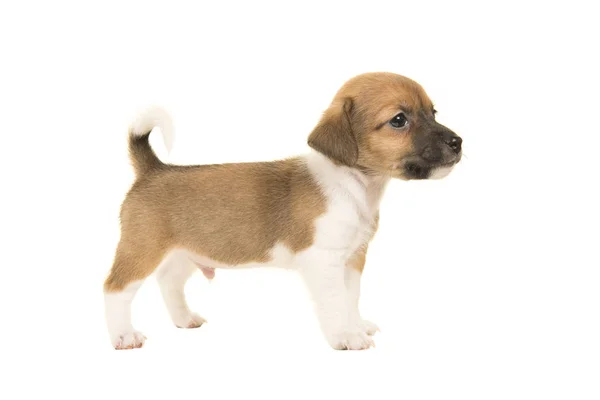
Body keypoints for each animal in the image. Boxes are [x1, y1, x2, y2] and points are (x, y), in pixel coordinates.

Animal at [104, 72, 464, 350]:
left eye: (433, 112)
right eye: (399, 120)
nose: (458, 142)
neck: (352, 184)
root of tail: (154, 169)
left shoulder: (352, 260)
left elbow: (350, 298)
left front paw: (356, 325)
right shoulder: (324, 261)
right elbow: (335, 302)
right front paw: (346, 336)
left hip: (185, 253)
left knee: (168, 281)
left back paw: (183, 319)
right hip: (142, 251)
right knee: (115, 290)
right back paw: (124, 335)